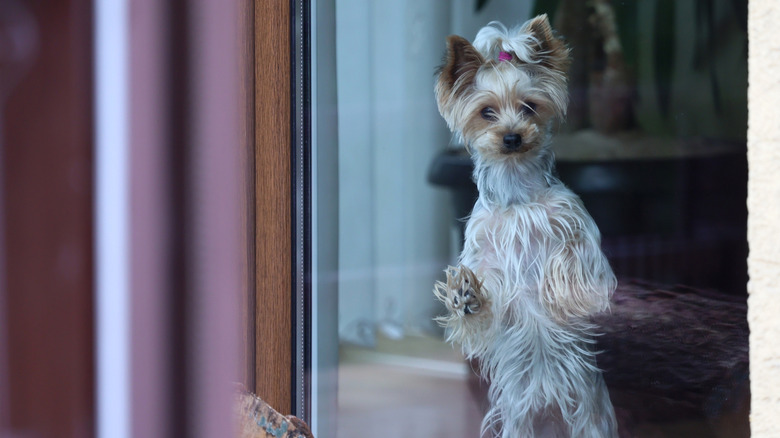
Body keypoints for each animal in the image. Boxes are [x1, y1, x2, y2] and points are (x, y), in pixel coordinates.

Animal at [432, 14, 616, 438]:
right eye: (486, 112)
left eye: (529, 106)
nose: (512, 136)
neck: (517, 194)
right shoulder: (485, 255)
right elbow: (486, 304)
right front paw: (464, 296)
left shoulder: (575, 222)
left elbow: (574, 256)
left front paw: (560, 290)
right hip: (519, 422)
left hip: (591, 419)